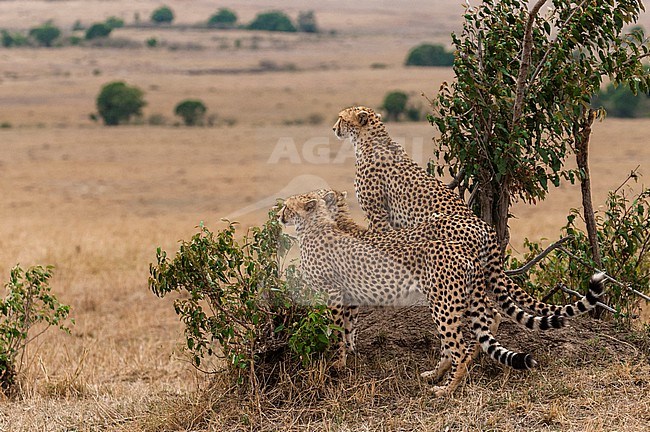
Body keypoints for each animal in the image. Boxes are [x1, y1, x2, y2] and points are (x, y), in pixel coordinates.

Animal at [280, 192, 548, 394]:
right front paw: (349, 354)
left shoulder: (334, 292)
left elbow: (337, 330)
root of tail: (482, 226)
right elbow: (348, 328)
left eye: (287, 206)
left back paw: (447, 387)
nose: (280, 214)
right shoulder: (349, 294)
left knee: (458, 345)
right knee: (489, 318)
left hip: (445, 302)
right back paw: (441, 372)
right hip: (465, 295)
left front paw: (337, 362)